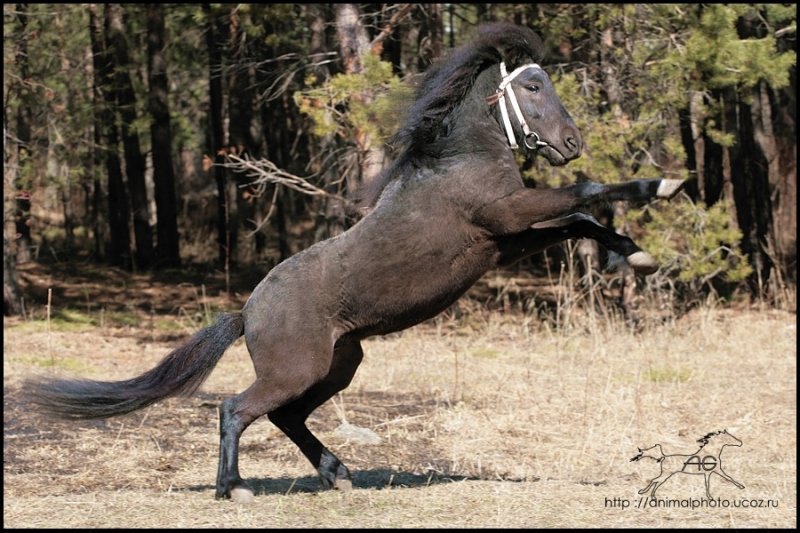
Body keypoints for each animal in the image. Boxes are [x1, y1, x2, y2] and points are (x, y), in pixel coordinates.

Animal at [31, 22, 680, 500]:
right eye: (533, 88)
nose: (571, 144)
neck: (459, 160)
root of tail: (247, 312)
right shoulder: (507, 218)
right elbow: (588, 193)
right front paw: (664, 184)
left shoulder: (507, 237)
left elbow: (580, 221)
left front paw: (637, 255)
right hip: (298, 369)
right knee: (235, 408)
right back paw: (234, 489)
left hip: (339, 364)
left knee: (285, 418)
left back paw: (338, 474)